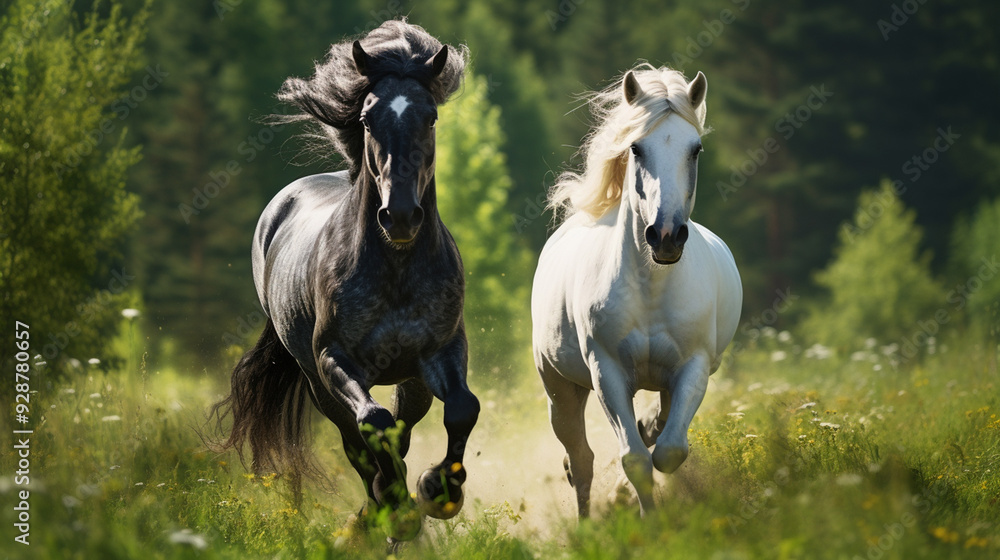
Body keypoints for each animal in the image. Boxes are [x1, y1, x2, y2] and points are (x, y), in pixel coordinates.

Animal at [211, 21, 479, 540]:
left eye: (431, 117)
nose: (400, 216)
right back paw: (376, 510)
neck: (395, 269)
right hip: (319, 383)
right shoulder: (334, 358)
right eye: (369, 119)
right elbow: (372, 423)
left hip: (410, 379)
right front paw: (398, 505)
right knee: (358, 439)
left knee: (403, 428)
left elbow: (462, 408)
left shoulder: (441, 349)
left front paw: (439, 492)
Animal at [531, 64, 742, 518]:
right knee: (580, 461)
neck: (651, 289)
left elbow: (669, 451)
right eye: (636, 148)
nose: (665, 236)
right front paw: (646, 519)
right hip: (560, 388)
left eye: (695, 149)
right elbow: (635, 460)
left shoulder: (693, 368)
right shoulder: (606, 373)